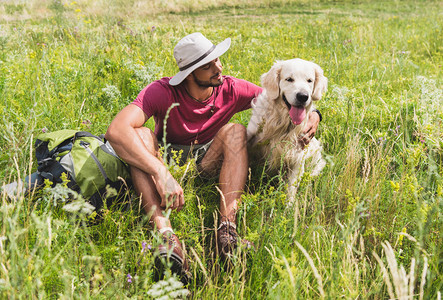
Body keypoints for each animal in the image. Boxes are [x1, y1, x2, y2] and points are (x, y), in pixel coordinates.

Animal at [248, 58, 328, 202]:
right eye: (289, 79)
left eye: (309, 80)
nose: (303, 96)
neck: (283, 122)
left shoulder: (297, 158)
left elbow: (291, 189)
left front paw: (289, 207)